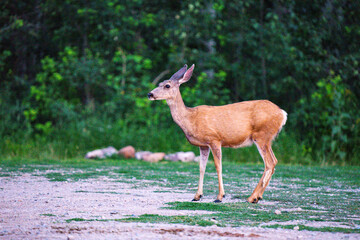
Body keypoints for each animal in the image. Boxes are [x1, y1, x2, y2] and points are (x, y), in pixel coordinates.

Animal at [146, 63, 286, 202]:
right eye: (159, 83)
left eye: (167, 85)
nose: (150, 94)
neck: (190, 119)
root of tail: (282, 113)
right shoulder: (203, 145)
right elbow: (201, 168)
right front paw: (197, 196)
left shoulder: (214, 139)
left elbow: (218, 167)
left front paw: (220, 196)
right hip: (267, 138)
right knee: (274, 161)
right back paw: (258, 196)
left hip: (261, 135)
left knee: (269, 163)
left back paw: (252, 197)